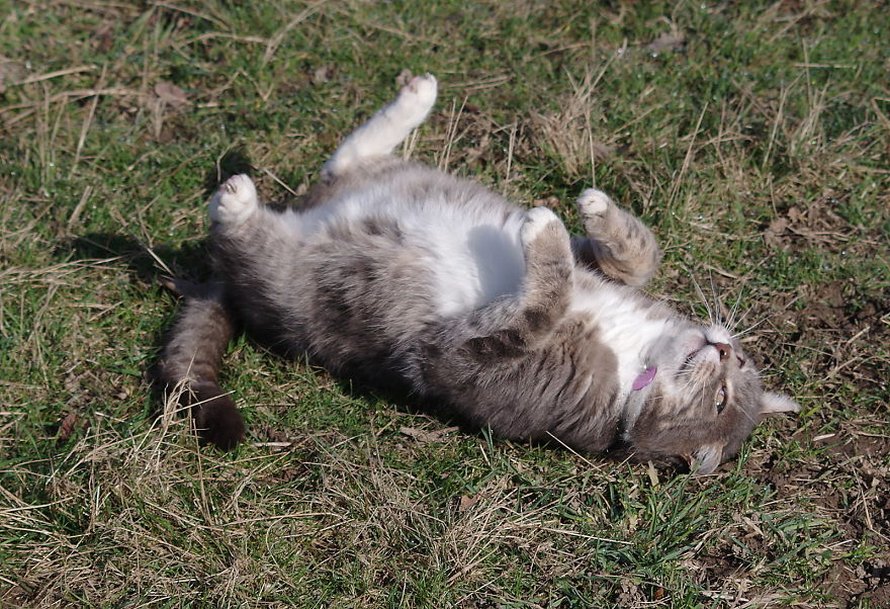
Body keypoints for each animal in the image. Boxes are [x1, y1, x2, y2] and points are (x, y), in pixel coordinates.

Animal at [154, 73, 796, 472]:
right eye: (740, 369)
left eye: (721, 401)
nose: (723, 348)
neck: (638, 358)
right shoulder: (607, 272)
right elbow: (639, 256)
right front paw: (591, 207)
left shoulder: (468, 357)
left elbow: (543, 302)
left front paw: (544, 231)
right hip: (375, 179)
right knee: (347, 158)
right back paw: (417, 96)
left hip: (291, 279)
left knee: (240, 240)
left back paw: (236, 200)